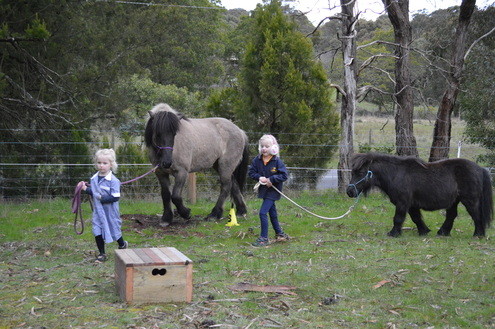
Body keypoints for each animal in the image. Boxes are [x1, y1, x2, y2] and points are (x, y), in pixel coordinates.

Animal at [346, 152, 494, 237]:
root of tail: (480, 169)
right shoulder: (411, 205)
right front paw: (424, 231)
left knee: (476, 215)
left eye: (360, 172)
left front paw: (393, 233)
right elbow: (416, 218)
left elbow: (398, 218)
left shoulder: (402, 203)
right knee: (451, 216)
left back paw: (478, 234)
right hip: (454, 201)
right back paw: (442, 233)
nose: (349, 192)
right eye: (353, 172)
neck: (395, 174)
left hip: (470, 200)